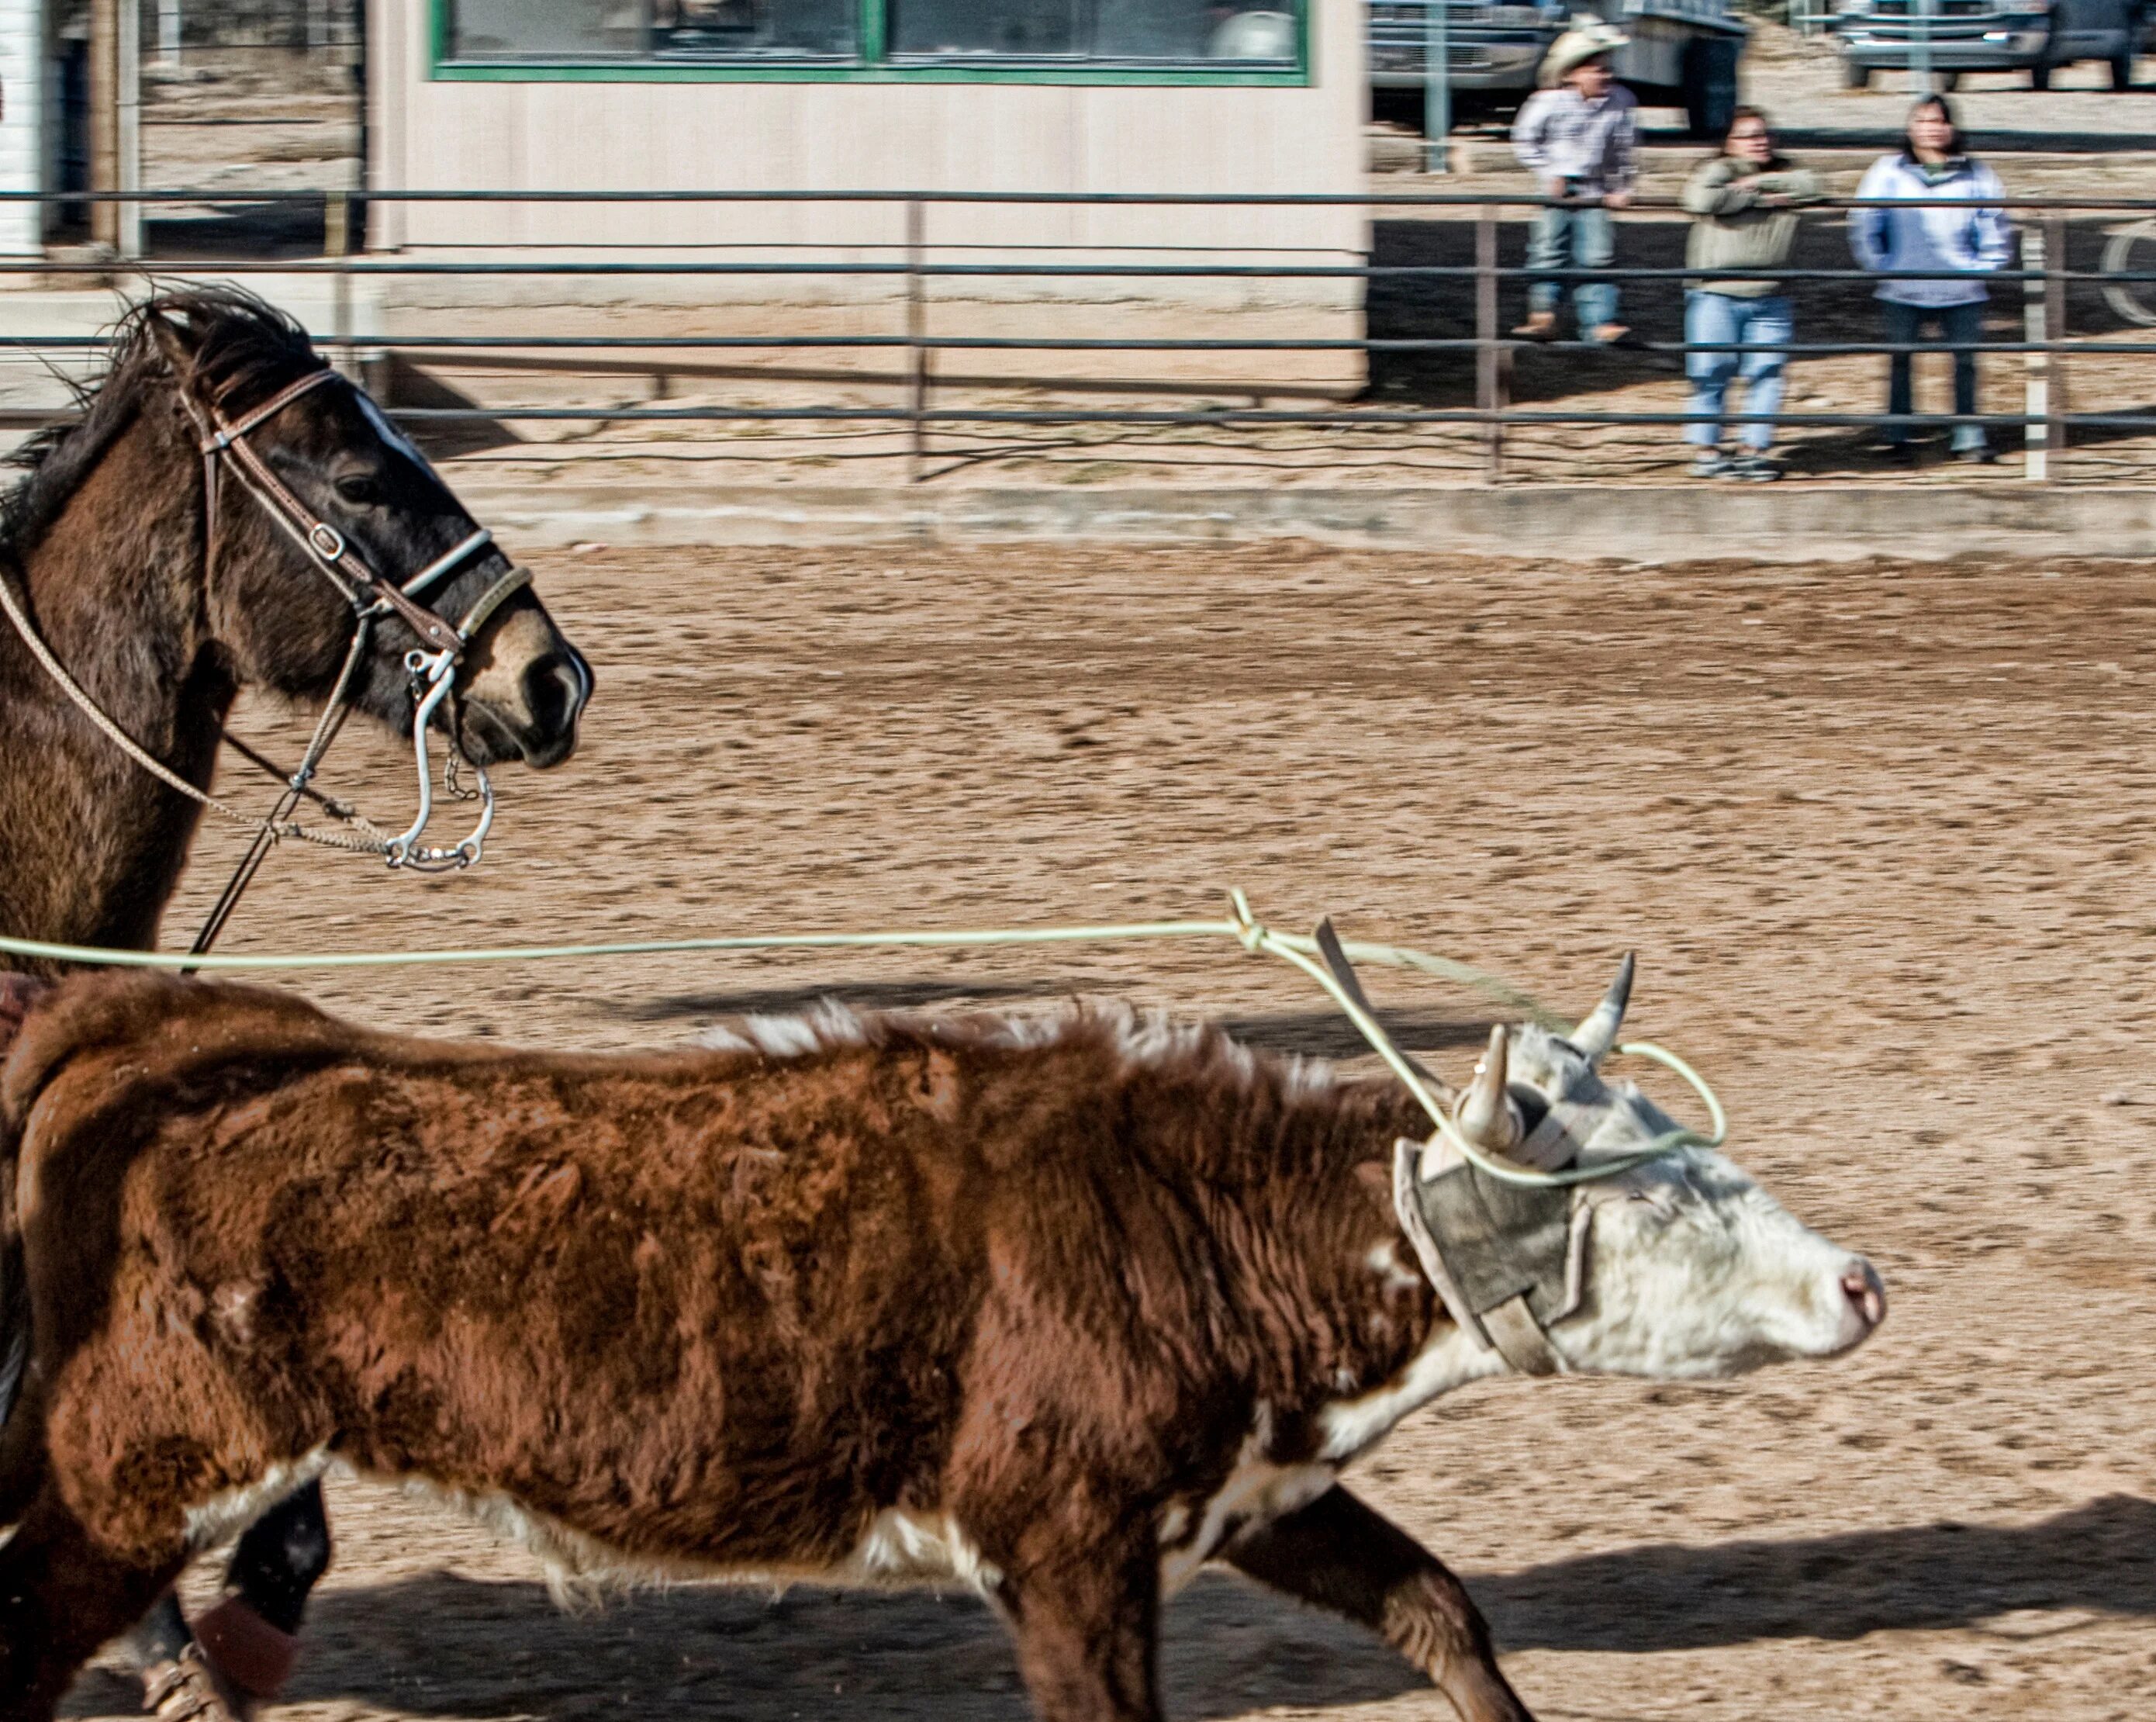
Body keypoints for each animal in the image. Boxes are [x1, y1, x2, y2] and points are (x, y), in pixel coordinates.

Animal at [0, 970, 1888, 1722]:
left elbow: (1438, 1609)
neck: (1186, 1212)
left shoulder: (1247, 1491)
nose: (1862, 1283)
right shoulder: (1060, 1546)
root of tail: (143, 1025)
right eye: (1660, 1189)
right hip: (129, 1475)